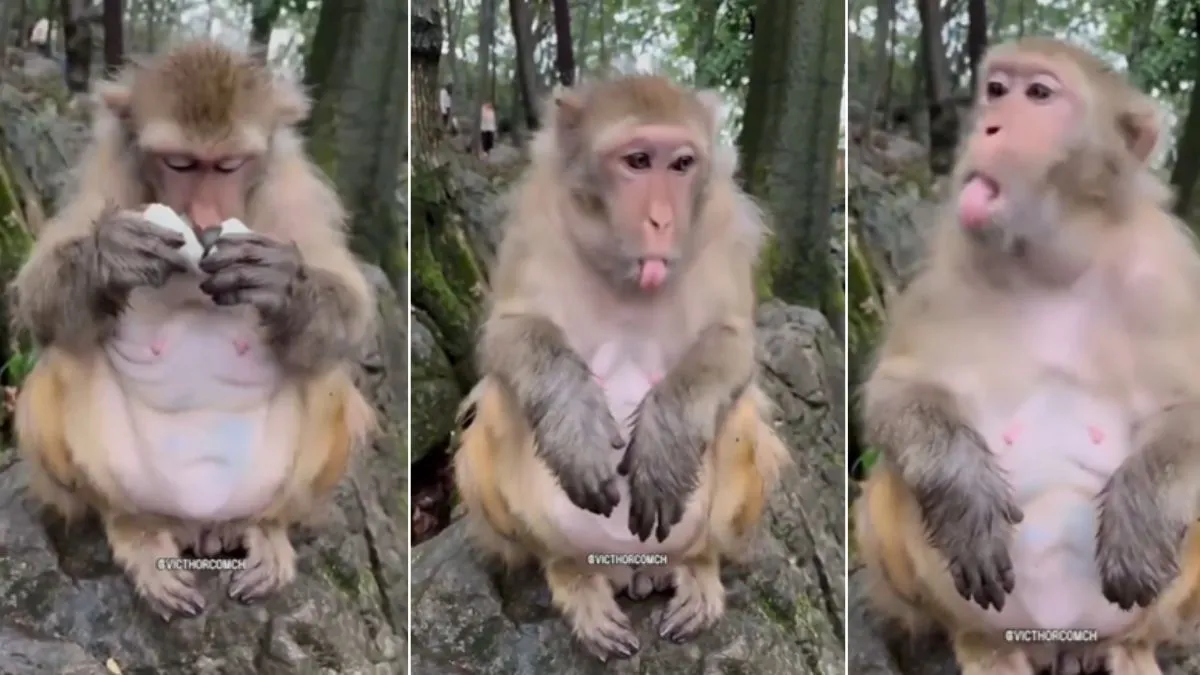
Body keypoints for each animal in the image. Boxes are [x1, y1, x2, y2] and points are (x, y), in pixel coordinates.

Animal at [10, 40, 378, 621]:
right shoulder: (109, 171)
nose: (204, 213)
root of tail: (198, 524)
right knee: (63, 357)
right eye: (180, 163)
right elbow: (41, 297)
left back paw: (267, 529)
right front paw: (108, 256)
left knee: (325, 371)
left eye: (227, 165)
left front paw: (281, 281)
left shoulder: (287, 184)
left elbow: (349, 309)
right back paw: (134, 533)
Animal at [451, 76, 791, 661]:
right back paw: (574, 580)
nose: (662, 220)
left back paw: (698, 568)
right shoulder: (537, 221)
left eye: (681, 164)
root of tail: (632, 570)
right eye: (637, 161)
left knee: (742, 421)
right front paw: (575, 428)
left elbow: (733, 340)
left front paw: (666, 445)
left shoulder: (724, 224)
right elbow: (509, 332)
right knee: (494, 409)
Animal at [853, 36, 1200, 675]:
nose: (989, 127)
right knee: (890, 484)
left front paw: (1139, 519)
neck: (1054, 263)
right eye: (996, 90)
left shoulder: (1167, 276)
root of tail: (1051, 639)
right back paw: (980, 645)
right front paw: (966, 491)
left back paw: (1128, 648)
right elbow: (897, 389)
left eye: (1039, 94)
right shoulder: (949, 269)